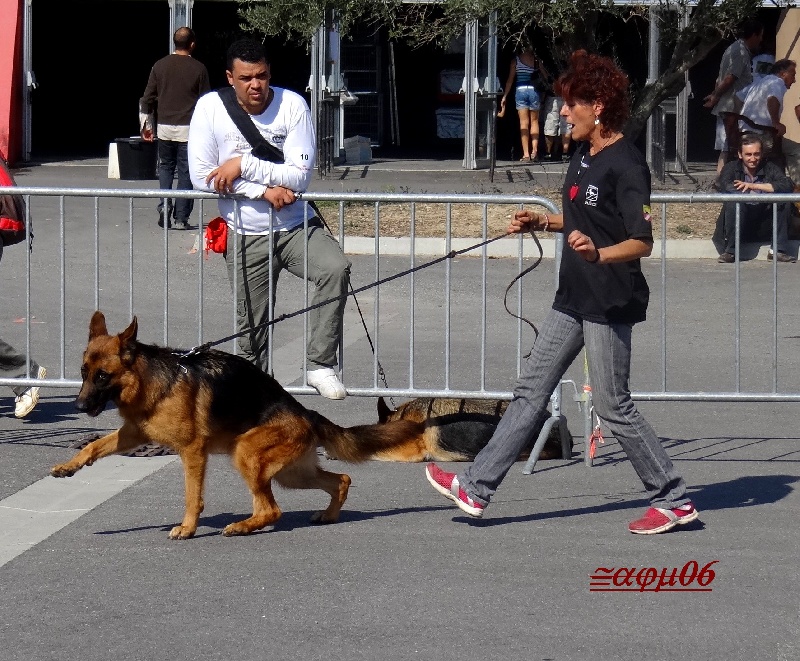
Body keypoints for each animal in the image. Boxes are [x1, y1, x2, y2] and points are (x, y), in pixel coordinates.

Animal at [50, 312, 428, 540]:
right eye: (83, 372)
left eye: (103, 376)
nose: (78, 406)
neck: (153, 381)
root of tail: (306, 413)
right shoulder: (132, 434)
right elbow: (93, 446)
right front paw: (68, 466)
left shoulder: (192, 453)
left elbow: (192, 496)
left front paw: (188, 528)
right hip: (292, 473)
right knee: (341, 479)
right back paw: (327, 515)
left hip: (246, 454)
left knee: (272, 509)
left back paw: (243, 526)